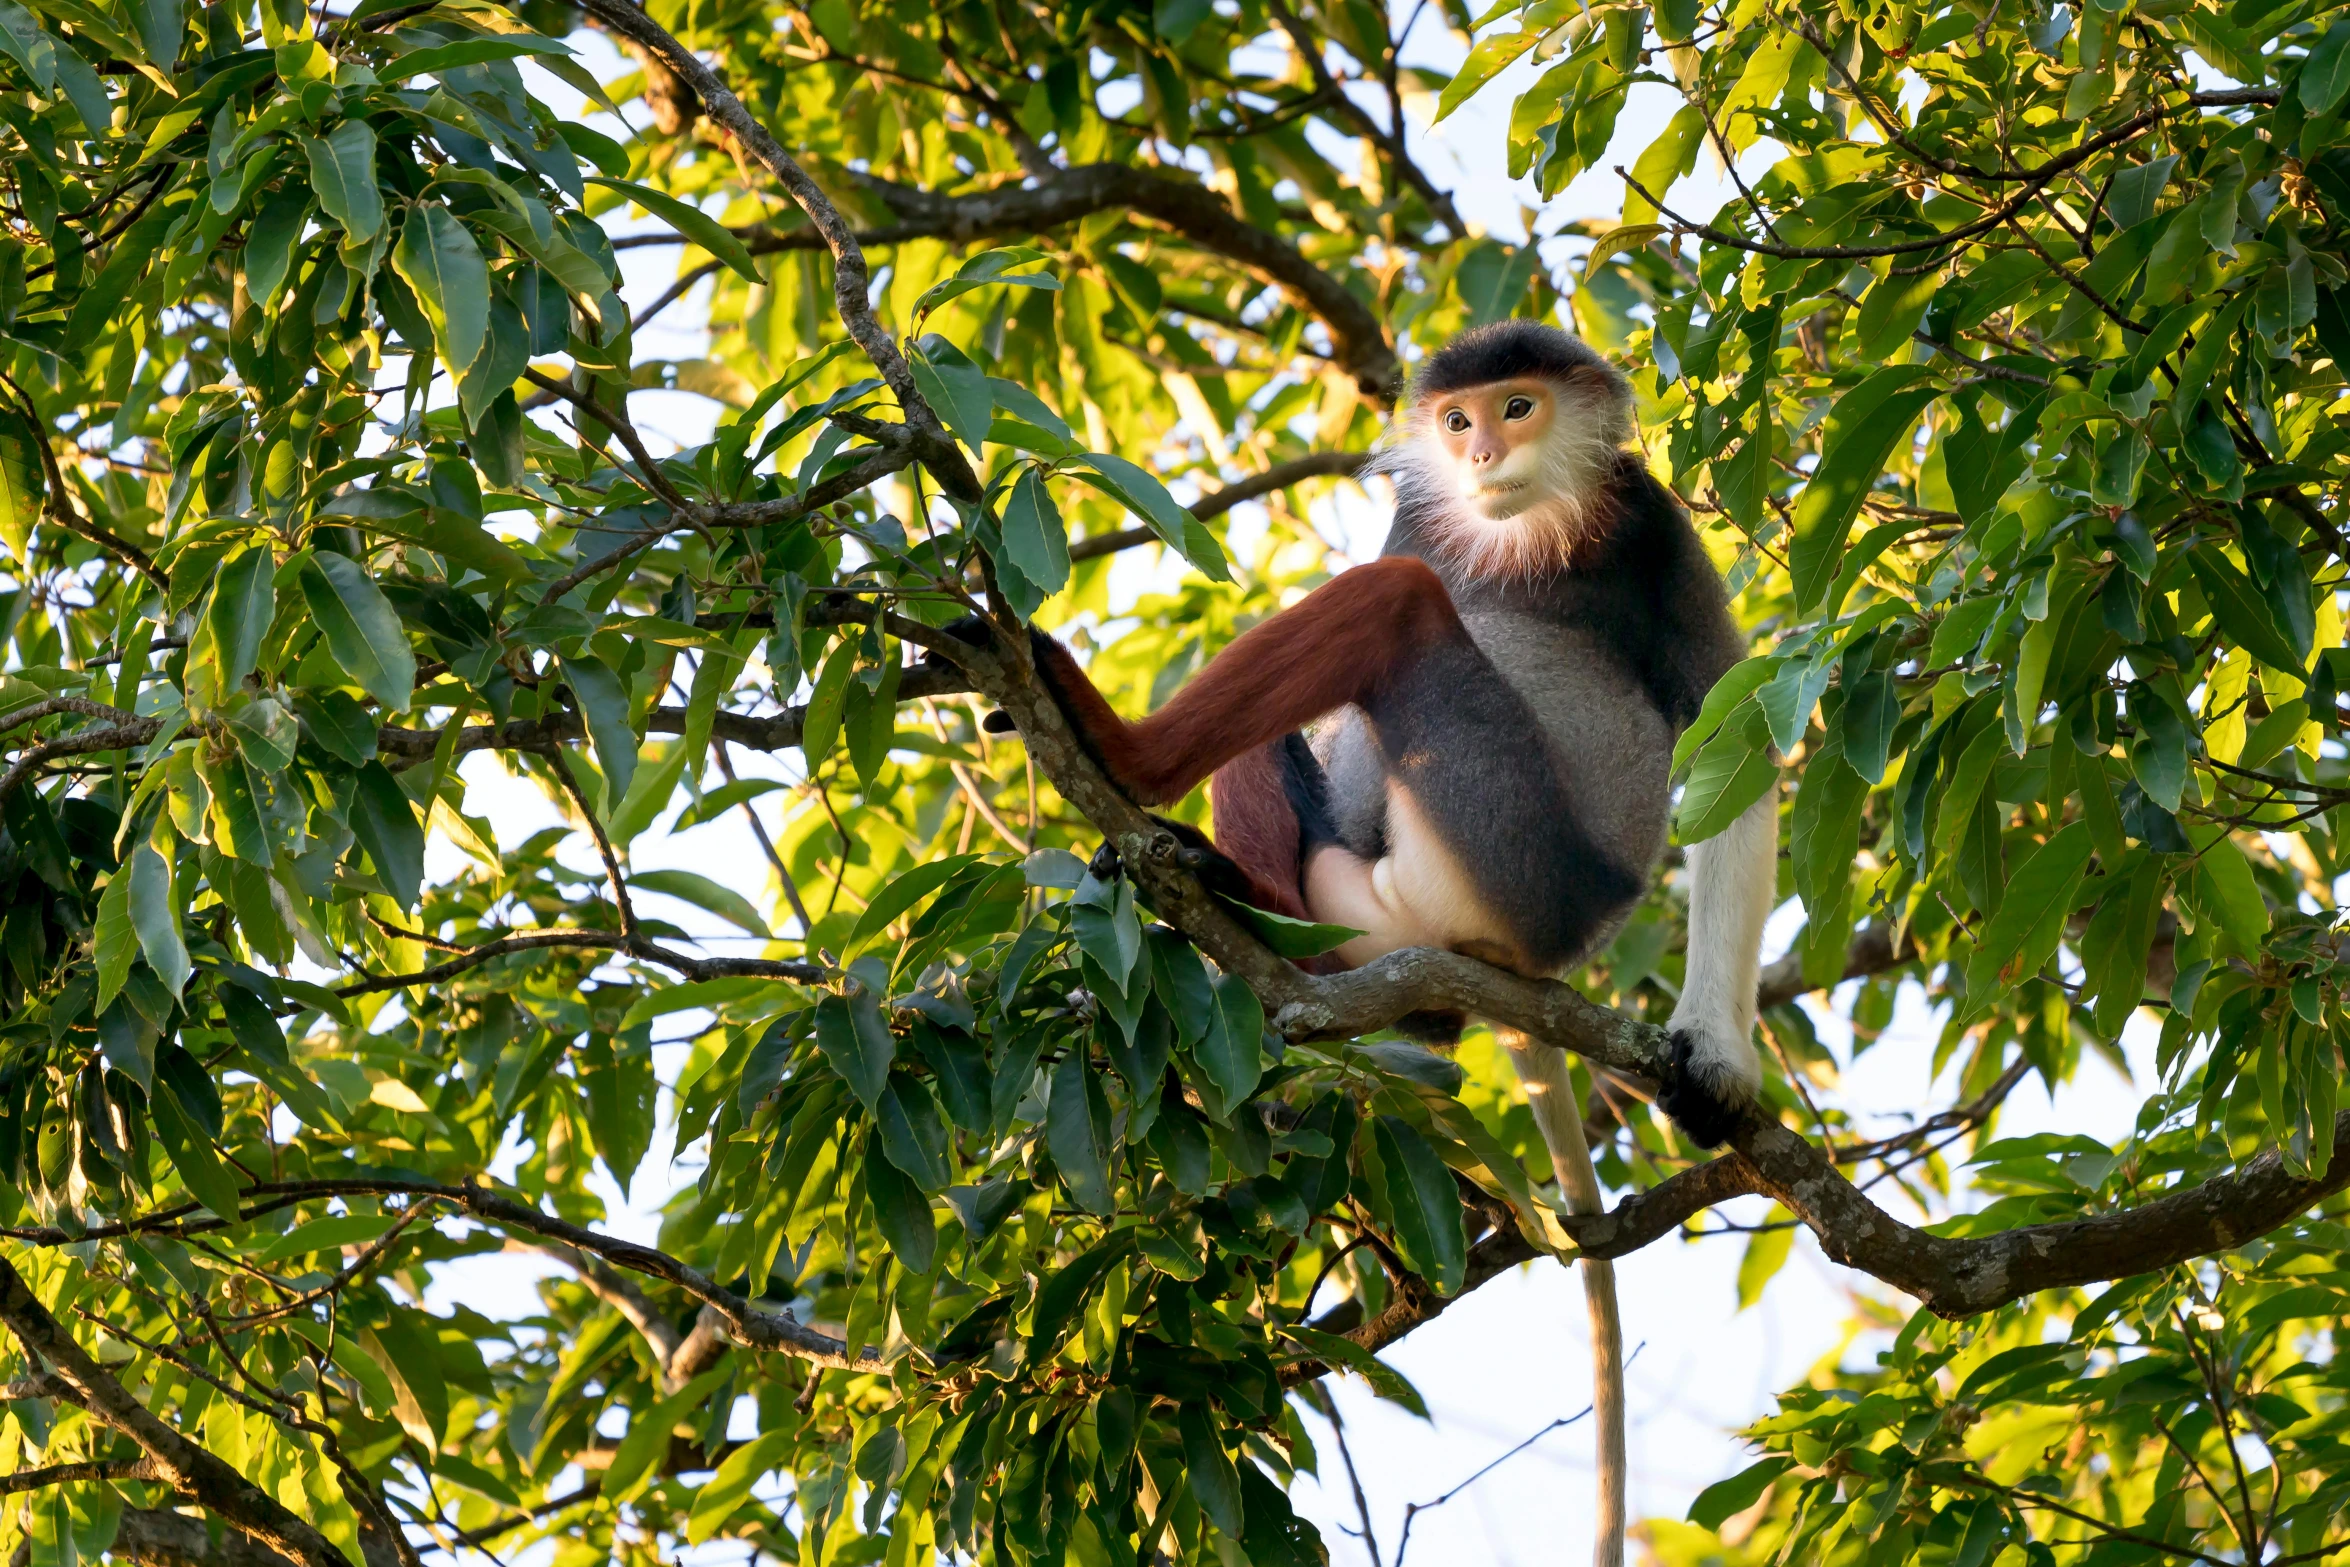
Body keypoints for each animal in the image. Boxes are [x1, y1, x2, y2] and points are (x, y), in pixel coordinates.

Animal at [977, 321, 1776, 1567]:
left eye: (1517, 406)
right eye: (1457, 422)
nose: (1484, 449)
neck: (1523, 526)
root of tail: (1525, 961)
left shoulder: (1649, 522)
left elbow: (1732, 731)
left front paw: (1718, 1056)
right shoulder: (1426, 514)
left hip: (1503, 847)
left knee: (1396, 607)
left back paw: (1121, 751)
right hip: (1370, 888)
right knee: (1305, 739)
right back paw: (1245, 906)